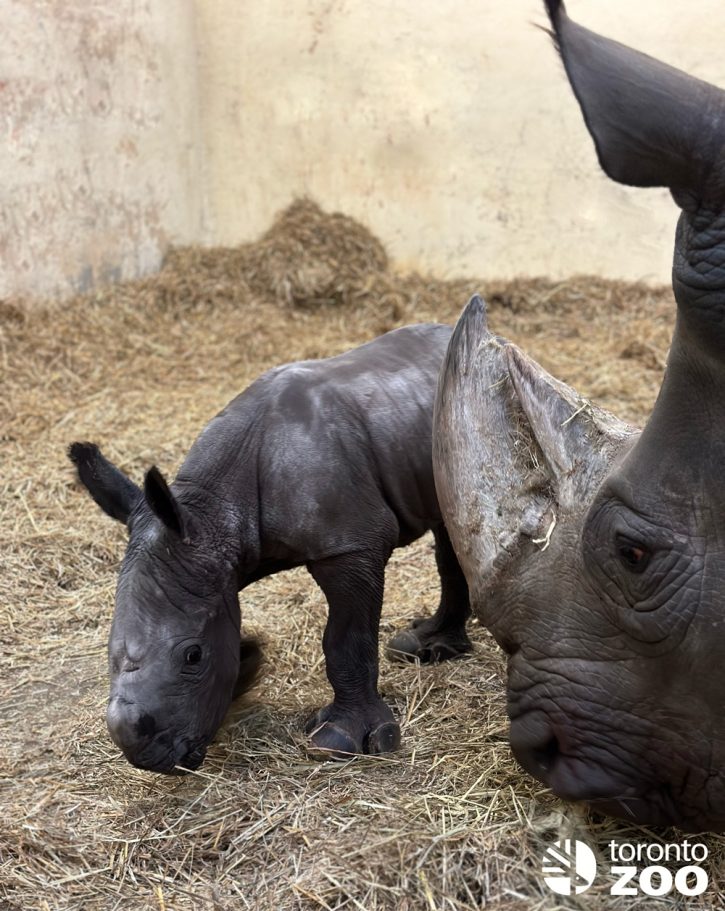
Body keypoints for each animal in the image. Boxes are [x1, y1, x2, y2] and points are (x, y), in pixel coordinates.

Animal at [69, 324, 470, 772]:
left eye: (193, 656)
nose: (146, 758)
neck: (213, 513)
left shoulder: (350, 545)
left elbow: (345, 641)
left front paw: (341, 740)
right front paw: (248, 665)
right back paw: (424, 647)